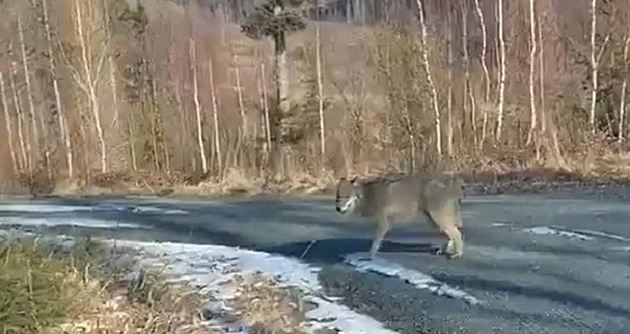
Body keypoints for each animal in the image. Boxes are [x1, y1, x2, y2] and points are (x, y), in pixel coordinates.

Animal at [338, 174, 466, 260]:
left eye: (346, 197)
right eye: (338, 197)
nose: (338, 209)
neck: (366, 196)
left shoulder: (383, 224)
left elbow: (375, 243)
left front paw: (370, 256)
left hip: (437, 219)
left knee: (457, 234)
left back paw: (457, 254)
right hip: (434, 221)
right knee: (452, 235)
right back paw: (444, 250)